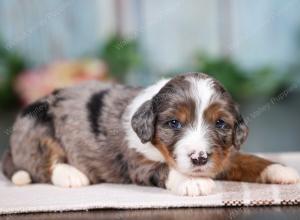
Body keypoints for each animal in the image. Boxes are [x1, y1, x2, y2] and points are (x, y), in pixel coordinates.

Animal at [1, 72, 298, 196]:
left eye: (221, 124)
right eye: (174, 124)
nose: (200, 158)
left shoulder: (223, 154)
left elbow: (248, 159)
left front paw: (282, 170)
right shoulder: (137, 163)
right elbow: (165, 169)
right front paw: (193, 182)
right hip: (37, 127)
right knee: (42, 163)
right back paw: (72, 175)